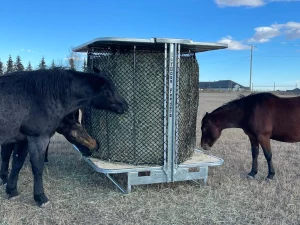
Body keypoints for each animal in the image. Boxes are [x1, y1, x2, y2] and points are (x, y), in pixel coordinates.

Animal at [0, 67, 127, 207]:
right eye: (108, 91)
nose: (125, 105)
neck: (43, 98)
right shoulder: (38, 138)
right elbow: (37, 168)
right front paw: (40, 197)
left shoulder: (23, 139)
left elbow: (17, 163)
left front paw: (12, 191)